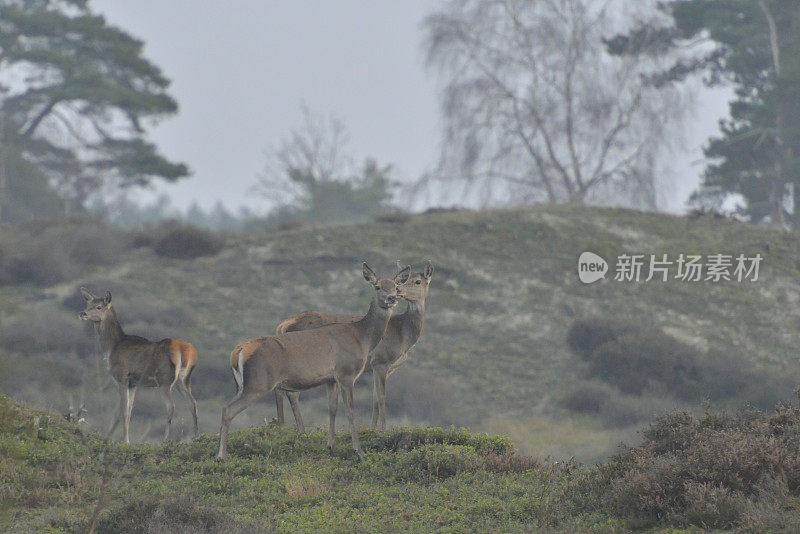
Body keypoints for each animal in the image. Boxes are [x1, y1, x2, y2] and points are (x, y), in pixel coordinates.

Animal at [80, 288, 200, 444]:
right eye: (88, 303)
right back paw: (196, 437)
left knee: (171, 406)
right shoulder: (134, 384)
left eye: (99, 306)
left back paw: (165, 440)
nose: (82, 313)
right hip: (183, 380)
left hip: (165, 379)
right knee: (192, 403)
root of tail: (187, 352)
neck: (112, 347)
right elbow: (129, 411)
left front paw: (125, 441)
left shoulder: (122, 377)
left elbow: (123, 411)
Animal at [272, 262, 434, 434]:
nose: (397, 294)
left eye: (417, 281)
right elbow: (382, 398)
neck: (403, 336)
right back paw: (298, 430)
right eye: (405, 282)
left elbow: (374, 399)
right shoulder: (380, 361)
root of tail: (282, 326)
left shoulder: (385, 368)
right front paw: (383, 430)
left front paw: (372, 429)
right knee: (292, 393)